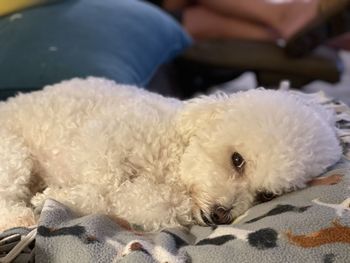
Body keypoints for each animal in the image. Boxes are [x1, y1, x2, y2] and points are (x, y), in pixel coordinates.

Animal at [0, 77, 342, 232]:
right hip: (13, 155)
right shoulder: (107, 135)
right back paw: (23, 215)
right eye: (237, 160)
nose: (220, 215)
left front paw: (54, 197)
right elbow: (104, 182)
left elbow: (153, 206)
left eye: (266, 194)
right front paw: (54, 197)